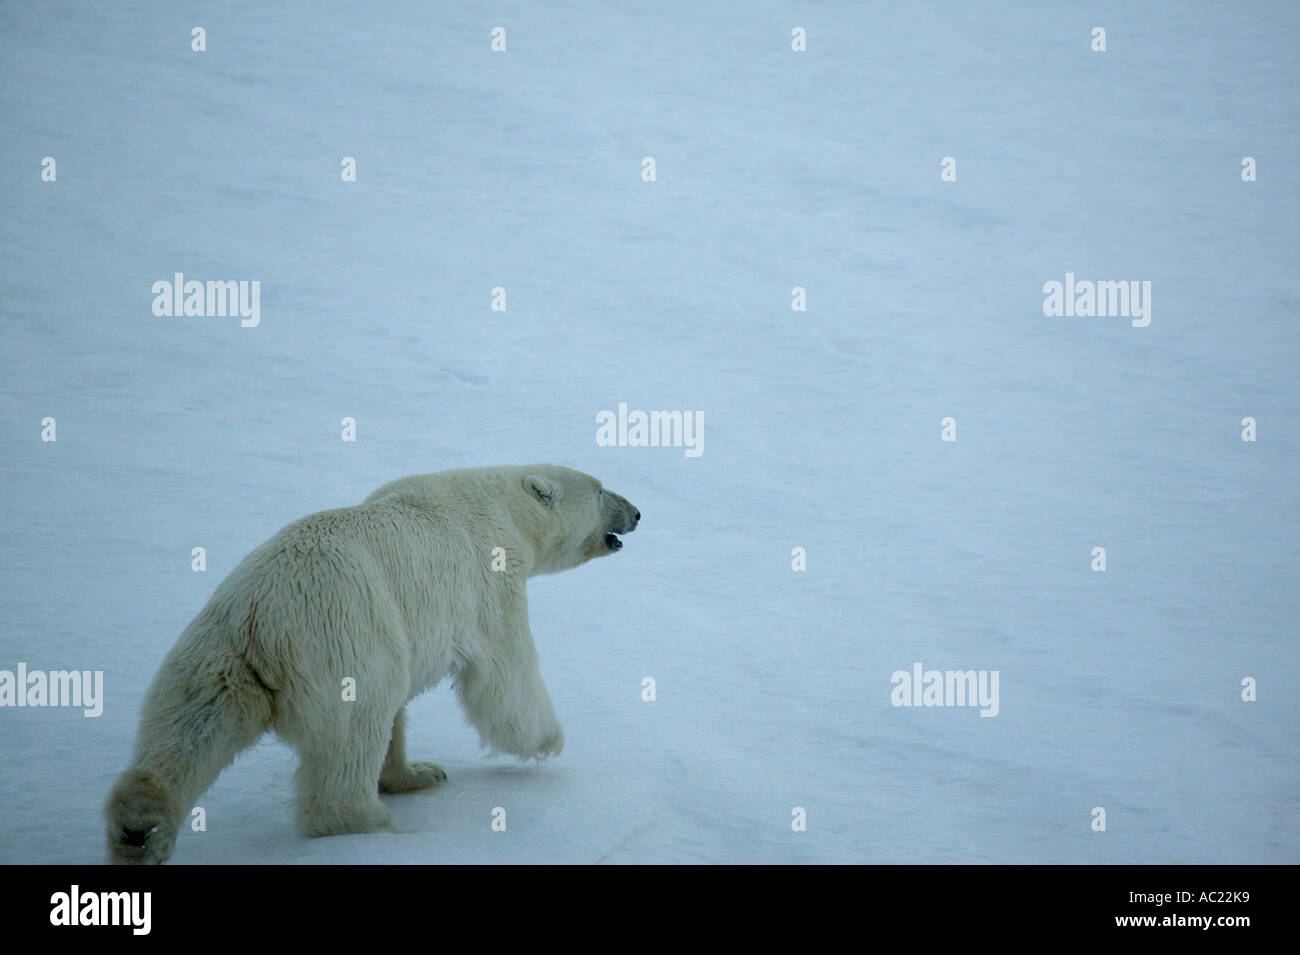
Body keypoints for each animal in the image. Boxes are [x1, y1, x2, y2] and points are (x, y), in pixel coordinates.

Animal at [105, 465, 639, 867]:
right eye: (599, 491)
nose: (636, 512)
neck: (498, 502)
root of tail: (263, 619)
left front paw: (420, 772)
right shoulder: (488, 578)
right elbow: (505, 670)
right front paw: (547, 740)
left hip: (215, 655)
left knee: (189, 730)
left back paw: (138, 826)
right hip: (341, 635)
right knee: (354, 731)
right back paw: (376, 826)